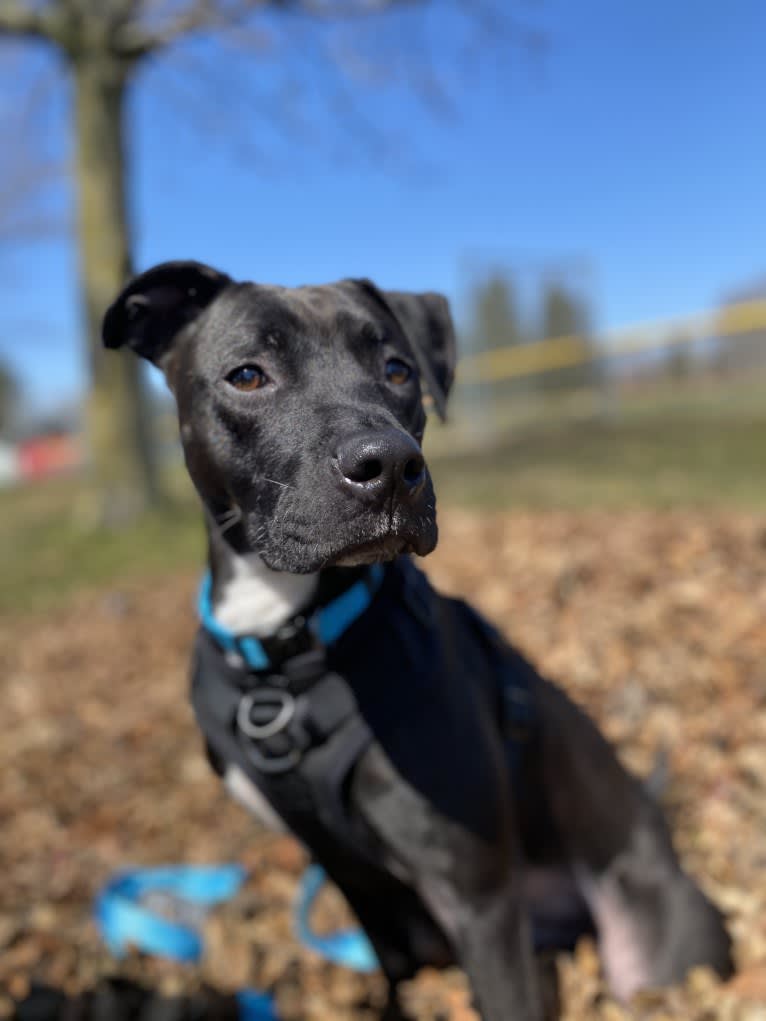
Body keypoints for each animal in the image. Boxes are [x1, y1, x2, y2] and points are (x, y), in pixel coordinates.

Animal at [103, 263, 739, 1021]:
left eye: (398, 369)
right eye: (248, 375)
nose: (389, 465)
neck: (288, 655)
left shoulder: (477, 898)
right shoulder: (367, 893)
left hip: (651, 953)